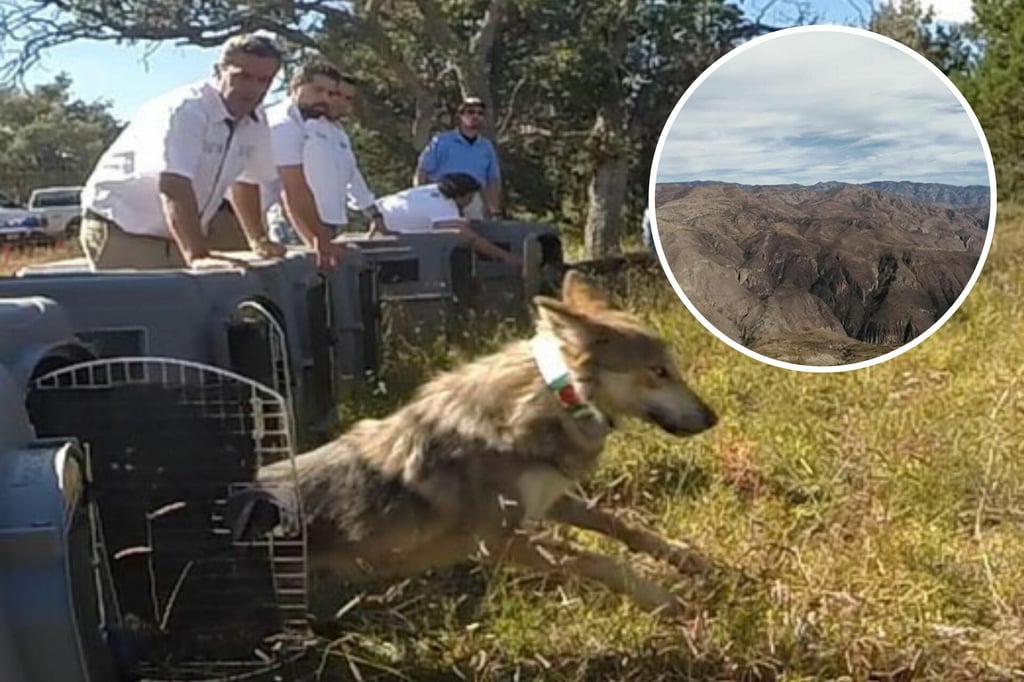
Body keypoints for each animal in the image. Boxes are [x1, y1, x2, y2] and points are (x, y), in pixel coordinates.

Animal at [237, 269, 718, 615]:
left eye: (672, 368)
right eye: (658, 372)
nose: (713, 418)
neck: (552, 400)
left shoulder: (549, 498)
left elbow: (620, 525)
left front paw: (686, 558)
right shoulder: (498, 541)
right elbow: (590, 558)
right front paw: (664, 600)